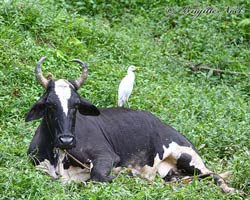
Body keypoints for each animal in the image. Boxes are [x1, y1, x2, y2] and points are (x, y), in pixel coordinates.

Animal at [26, 57, 237, 193]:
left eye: (76, 105)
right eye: (50, 104)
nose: (67, 140)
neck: (59, 157)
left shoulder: (107, 156)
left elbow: (98, 176)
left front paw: (128, 175)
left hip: (188, 157)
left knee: (213, 175)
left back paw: (231, 190)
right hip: (172, 174)